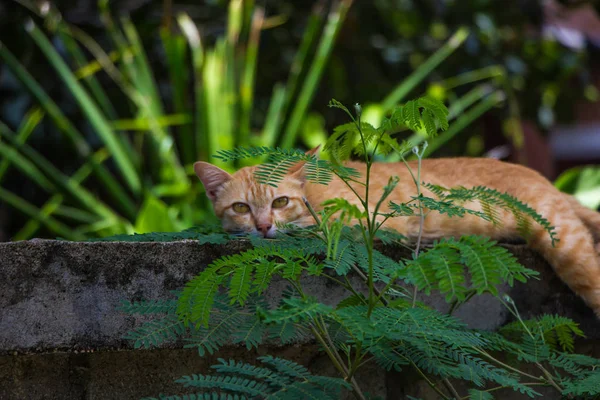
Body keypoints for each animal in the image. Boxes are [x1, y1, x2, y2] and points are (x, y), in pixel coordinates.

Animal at [195, 153, 600, 316]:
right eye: (241, 208)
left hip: (562, 239)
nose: (264, 226)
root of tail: (546, 180)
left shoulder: (377, 224)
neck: (315, 194)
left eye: (280, 201)